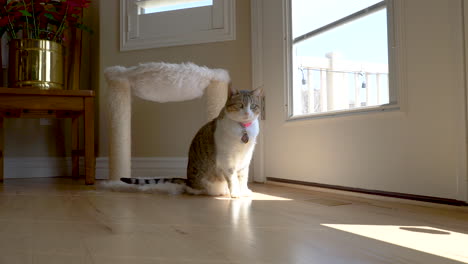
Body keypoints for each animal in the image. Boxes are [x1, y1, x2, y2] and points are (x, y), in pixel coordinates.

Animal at [120, 86, 262, 198]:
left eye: (253, 106)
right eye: (240, 105)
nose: (247, 113)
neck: (243, 129)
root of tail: (188, 180)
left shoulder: (245, 159)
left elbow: (243, 177)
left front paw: (244, 191)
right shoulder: (227, 161)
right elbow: (233, 179)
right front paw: (236, 193)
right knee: (192, 190)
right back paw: (221, 192)